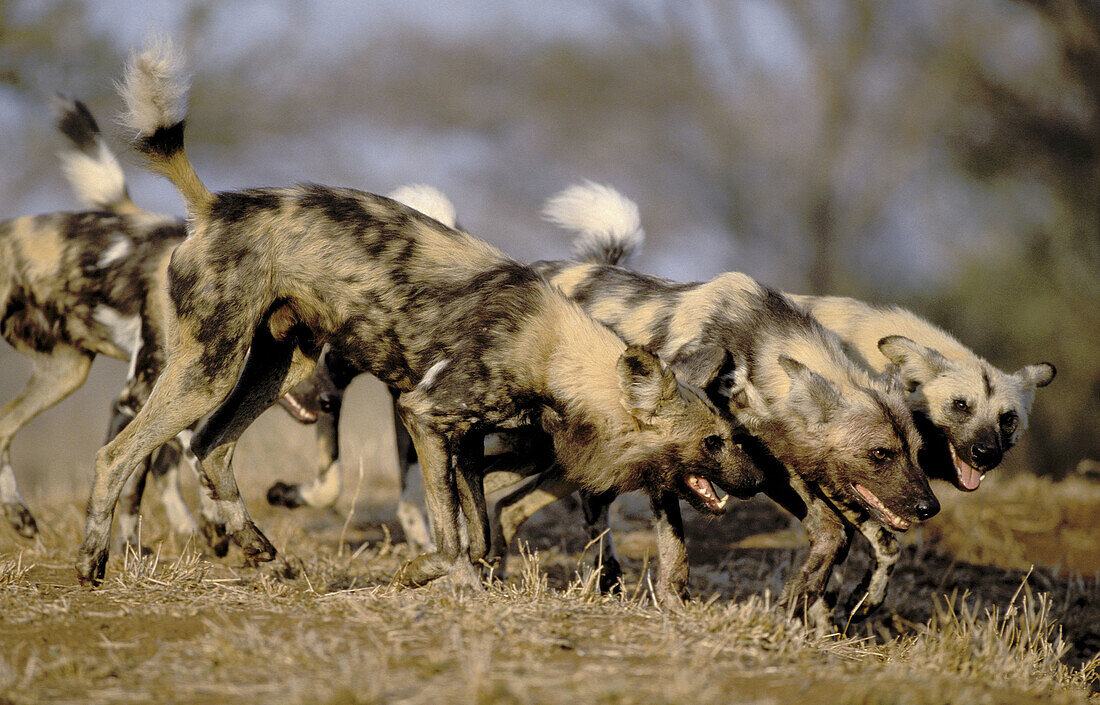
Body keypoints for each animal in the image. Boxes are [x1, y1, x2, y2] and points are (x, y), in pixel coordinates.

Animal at [75, 41, 765, 598]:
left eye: (732, 435)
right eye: (714, 441)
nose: (759, 478)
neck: (552, 353)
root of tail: (215, 205)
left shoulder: (463, 441)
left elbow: (475, 531)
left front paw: (458, 574)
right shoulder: (427, 417)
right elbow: (454, 535)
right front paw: (433, 575)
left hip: (279, 367)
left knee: (212, 448)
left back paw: (265, 555)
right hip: (208, 370)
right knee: (117, 453)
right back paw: (93, 563)